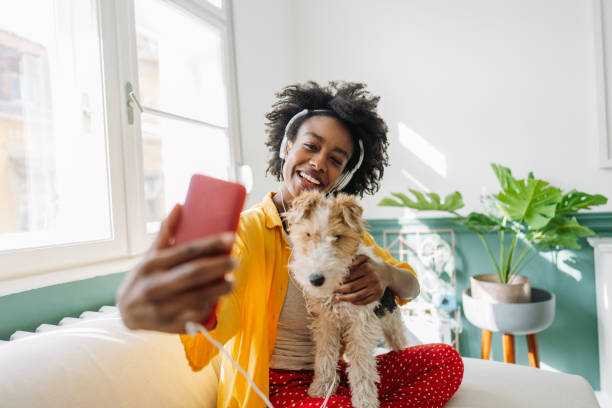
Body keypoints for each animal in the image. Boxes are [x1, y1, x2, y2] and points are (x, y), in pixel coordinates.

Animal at [284, 190, 408, 408]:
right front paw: (321, 388)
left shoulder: (361, 324)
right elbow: (325, 356)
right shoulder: (325, 322)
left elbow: (361, 365)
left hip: (392, 325)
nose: (316, 279)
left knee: (399, 343)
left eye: (337, 237)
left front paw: (365, 400)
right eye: (308, 235)